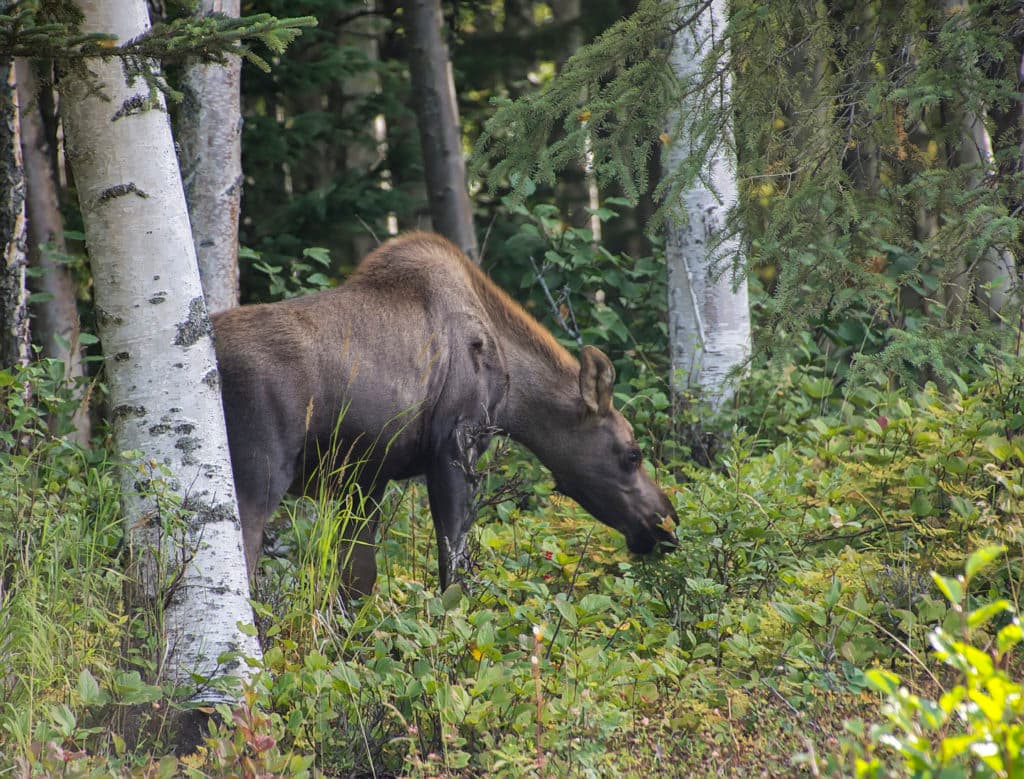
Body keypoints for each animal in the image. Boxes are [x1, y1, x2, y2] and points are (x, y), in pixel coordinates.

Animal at [214, 232, 679, 593]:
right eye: (632, 454)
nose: (667, 525)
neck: (511, 393)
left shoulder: (365, 477)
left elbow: (358, 580)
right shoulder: (455, 444)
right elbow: (454, 571)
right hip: (257, 474)